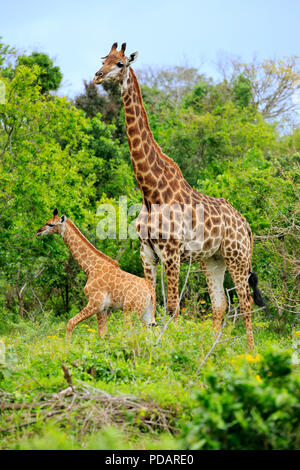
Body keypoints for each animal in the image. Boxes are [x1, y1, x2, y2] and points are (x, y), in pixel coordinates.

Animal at [36, 209, 156, 338]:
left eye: (51, 224)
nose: (38, 232)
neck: (90, 267)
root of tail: (151, 292)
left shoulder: (96, 303)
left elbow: (70, 322)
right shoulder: (103, 308)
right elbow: (102, 333)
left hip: (130, 311)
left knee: (129, 334)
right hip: (145, 314)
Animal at [94, 42, 264, 348]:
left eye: (120, 64)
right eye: (104, 59)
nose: (97, 76)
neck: (150, 192)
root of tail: (246, 225)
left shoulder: (171, 253)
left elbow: (172, 307)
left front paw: (167, 347)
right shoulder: (147, 252)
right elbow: (151, 302)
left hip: (238, 257)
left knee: (244, 303)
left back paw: (250, 352)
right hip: (213, 260)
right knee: (220, 304)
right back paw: (210, 349)